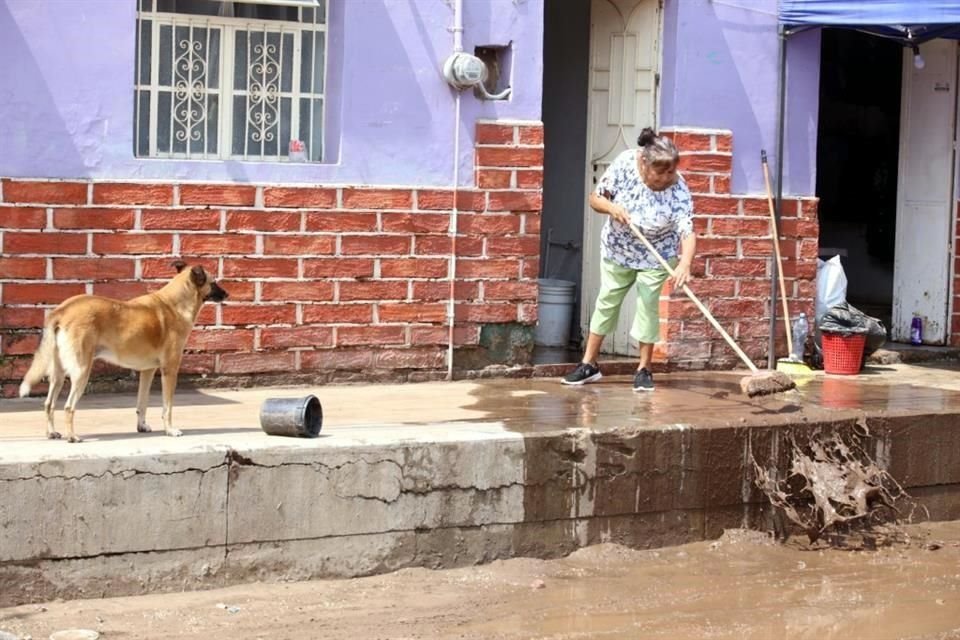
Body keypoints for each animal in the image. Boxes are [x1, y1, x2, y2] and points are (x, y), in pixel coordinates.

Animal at [19, 262, 230, 442]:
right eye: (213, 282)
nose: (227, 294)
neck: (176, 303)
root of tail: (62, 310)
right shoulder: (170, 370)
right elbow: (167, 407)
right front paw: (170, 430)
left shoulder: (148, 371)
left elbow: (142, 403)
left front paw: (142, 426)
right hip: (81, 371)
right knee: (69, 406)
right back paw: (72, 437)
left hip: (58, 373)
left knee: (49, 404)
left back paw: (52, 433)